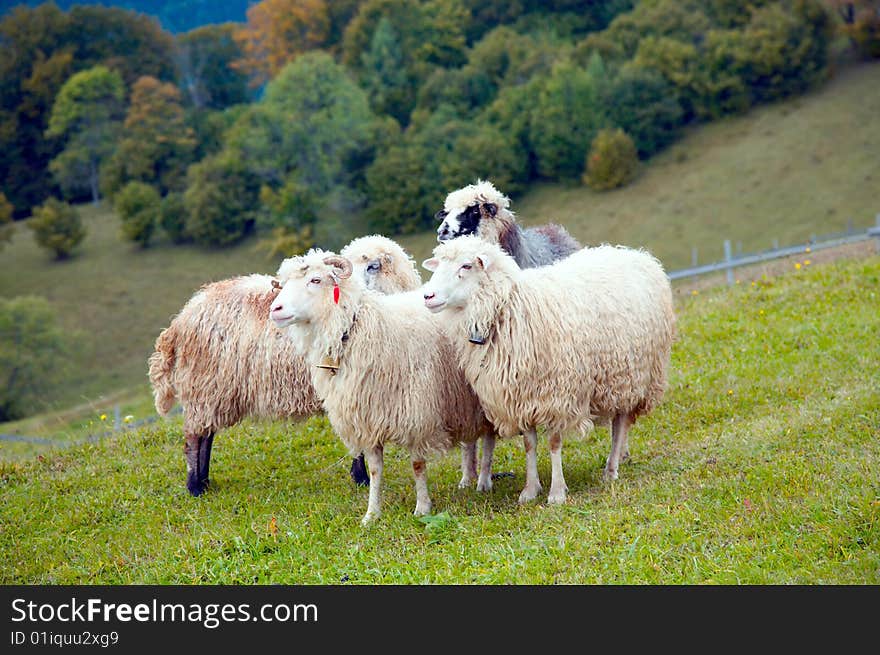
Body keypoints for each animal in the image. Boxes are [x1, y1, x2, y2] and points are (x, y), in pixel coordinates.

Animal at [148, 236, 422, 498]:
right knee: (194, 438)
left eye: (372, 266)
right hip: (205, 386)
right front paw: (361, 478)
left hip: (212, 391)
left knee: (206, 434)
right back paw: (195, 486)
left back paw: (204, 481)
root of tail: (181, 319)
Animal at [270, 249, 496, 524]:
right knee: (470, 441)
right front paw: (371, 514)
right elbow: (376, 470)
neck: (355, 328)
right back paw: (467, 479)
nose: (275, 309)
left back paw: (483, 481)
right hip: (462, 400)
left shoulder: (416, 414)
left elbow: (417, 465)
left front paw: (422, 508)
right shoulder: (368, 419)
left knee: (489, 439)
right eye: (283, 284)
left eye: (315, 280)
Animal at [422, 237, 676, 508]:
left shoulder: (557, 394)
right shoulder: (522, 397)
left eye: (466, 266)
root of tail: (636, 255)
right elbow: (529, 444)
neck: (509, 308)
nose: (428, 296)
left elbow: (554, 443)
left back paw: (611, 469)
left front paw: (556, 492)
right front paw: (530, 490)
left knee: (620, 424)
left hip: (634, 376)